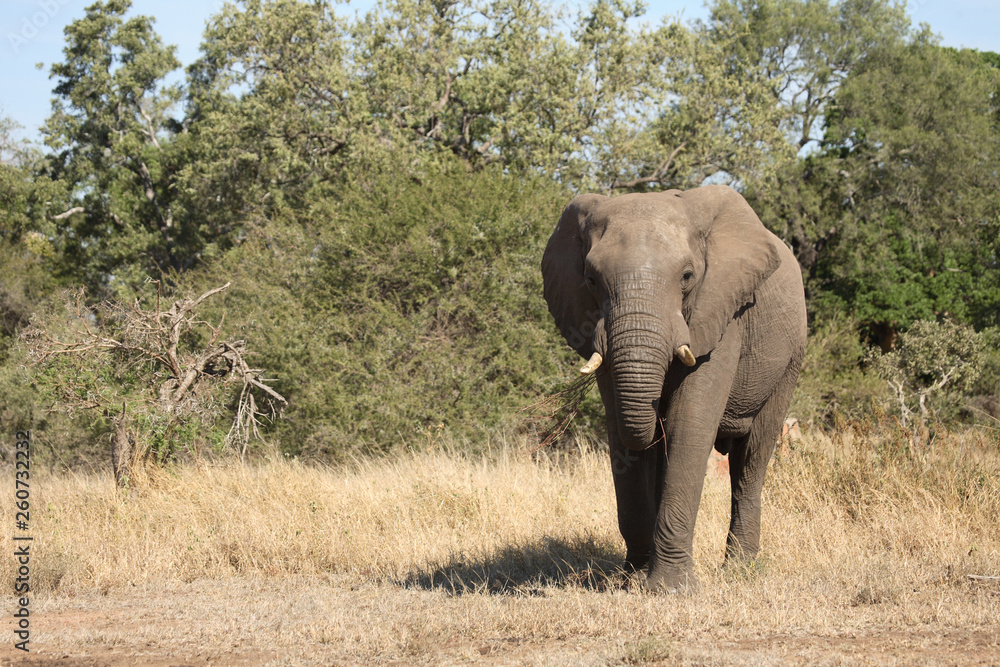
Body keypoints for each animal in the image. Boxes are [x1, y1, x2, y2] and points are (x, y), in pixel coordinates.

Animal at [541, 185, 807, 592]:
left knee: (751, 458)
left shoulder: (722, 312)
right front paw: (633, 580)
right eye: (591, 279)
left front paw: (670, 589)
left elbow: (689, 424)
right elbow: (623, 430)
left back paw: (739, 570)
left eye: (687, 276)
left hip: (790, 359)